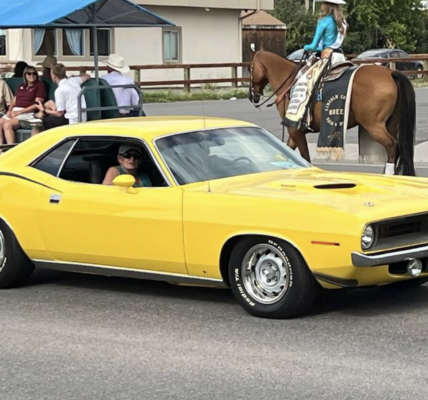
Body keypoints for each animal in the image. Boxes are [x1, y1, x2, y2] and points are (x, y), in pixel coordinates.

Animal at [248, 50, 416, 176]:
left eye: (251, 68)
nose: (252, 96)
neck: (290, 82)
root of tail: (391, 73)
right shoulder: (294, 130)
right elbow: (290, 149)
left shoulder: (294, 129)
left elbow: (305, 155)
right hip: (390, 124)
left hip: (374, 125)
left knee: (392, 146)